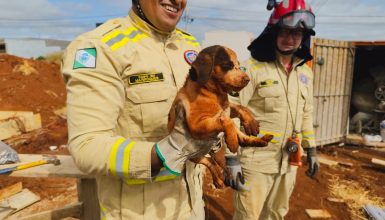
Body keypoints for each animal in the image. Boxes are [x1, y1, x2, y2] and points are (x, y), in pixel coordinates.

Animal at [168, 45, 272, 187]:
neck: (214, 93)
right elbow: (226, 120)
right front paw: (232, 142)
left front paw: (251, 122)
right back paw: (218, 179)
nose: (247, 79)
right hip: (196, 156)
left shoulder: (227, 107)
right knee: (211, 162)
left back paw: (261, 140)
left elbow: (240, 107)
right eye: (228, 65)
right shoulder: (196, 124)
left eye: (239, 65)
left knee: (242, 139)